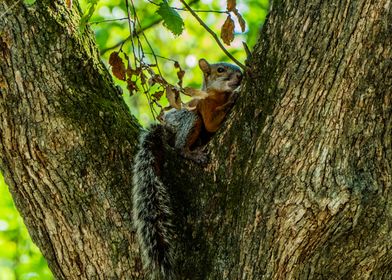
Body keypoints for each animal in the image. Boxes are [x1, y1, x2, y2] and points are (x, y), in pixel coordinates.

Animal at [132, 58, 242, 278]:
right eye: (220, 70)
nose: (240, 76)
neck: (217, 95)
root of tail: (165, 127)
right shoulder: (205, 110)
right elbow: (213, 122)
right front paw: (234, 97)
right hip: (190, 120)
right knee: (180, 147)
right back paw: (193, 153)